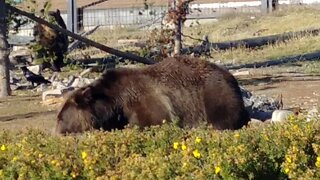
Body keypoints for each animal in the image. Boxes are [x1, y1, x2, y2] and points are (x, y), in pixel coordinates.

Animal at [55, 56, 250, 134]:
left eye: (60, 118)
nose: (55, 132)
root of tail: (230, 76)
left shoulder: (145, 99)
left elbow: (153, 120)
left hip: (214, 95)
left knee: (222, 118)